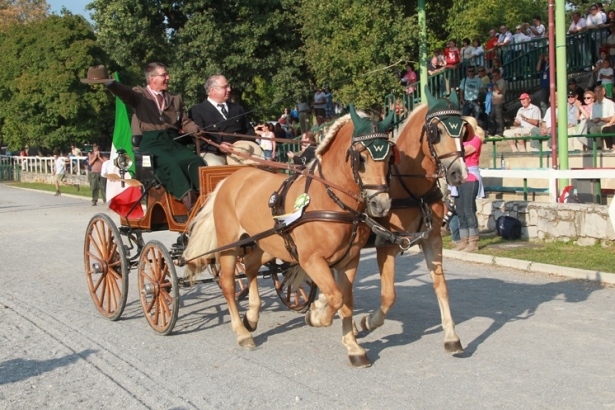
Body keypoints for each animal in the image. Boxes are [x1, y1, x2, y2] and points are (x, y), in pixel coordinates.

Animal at [183, 105, 394, 366]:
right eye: (361, 158)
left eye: (390, 157)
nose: (381, 205)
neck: (329, 200)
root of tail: (228, 180)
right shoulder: (311, 261)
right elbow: (335, 297)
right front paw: (316, 316)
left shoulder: (349, 260)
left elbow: (346, 300)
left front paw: (353, 347)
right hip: (229, 246)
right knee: (228, 284)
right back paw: (242, 332)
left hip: (263, 243)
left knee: (251, 266)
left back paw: (251, 316)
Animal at [360, 89, 472, 356]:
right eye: (436, 131)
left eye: (464, 130)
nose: (459, 174)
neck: (409, 187)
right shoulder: (386, 245)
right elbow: (389, 295)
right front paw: (369, 321)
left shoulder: (432, 239)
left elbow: (441, 285)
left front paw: (451, 336)